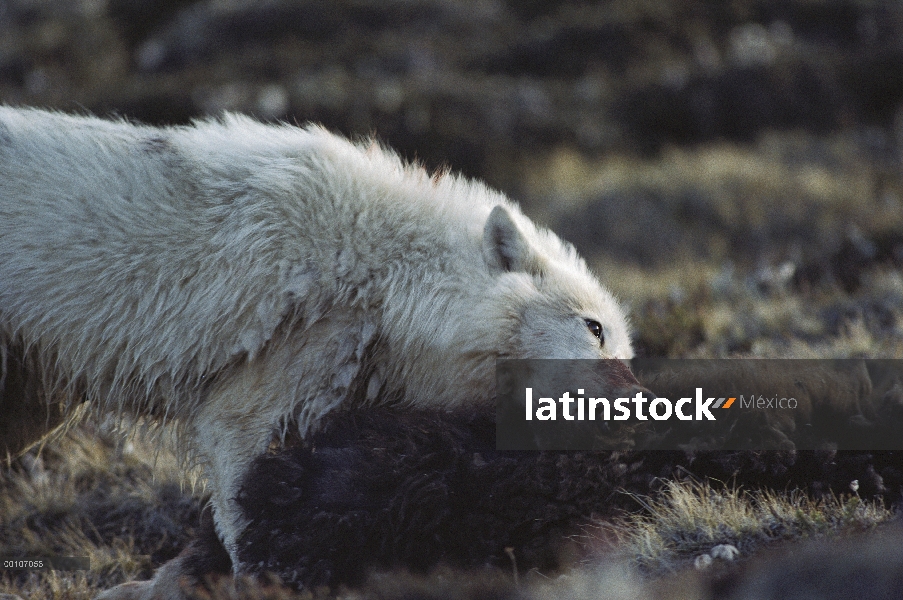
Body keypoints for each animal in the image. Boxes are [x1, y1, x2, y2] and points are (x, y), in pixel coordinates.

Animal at [0, 108, 640, 580]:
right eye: (594, 328)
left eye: (623, 348)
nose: (636, 403)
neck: (389, 273)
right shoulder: (263, 384)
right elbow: (242, 501)